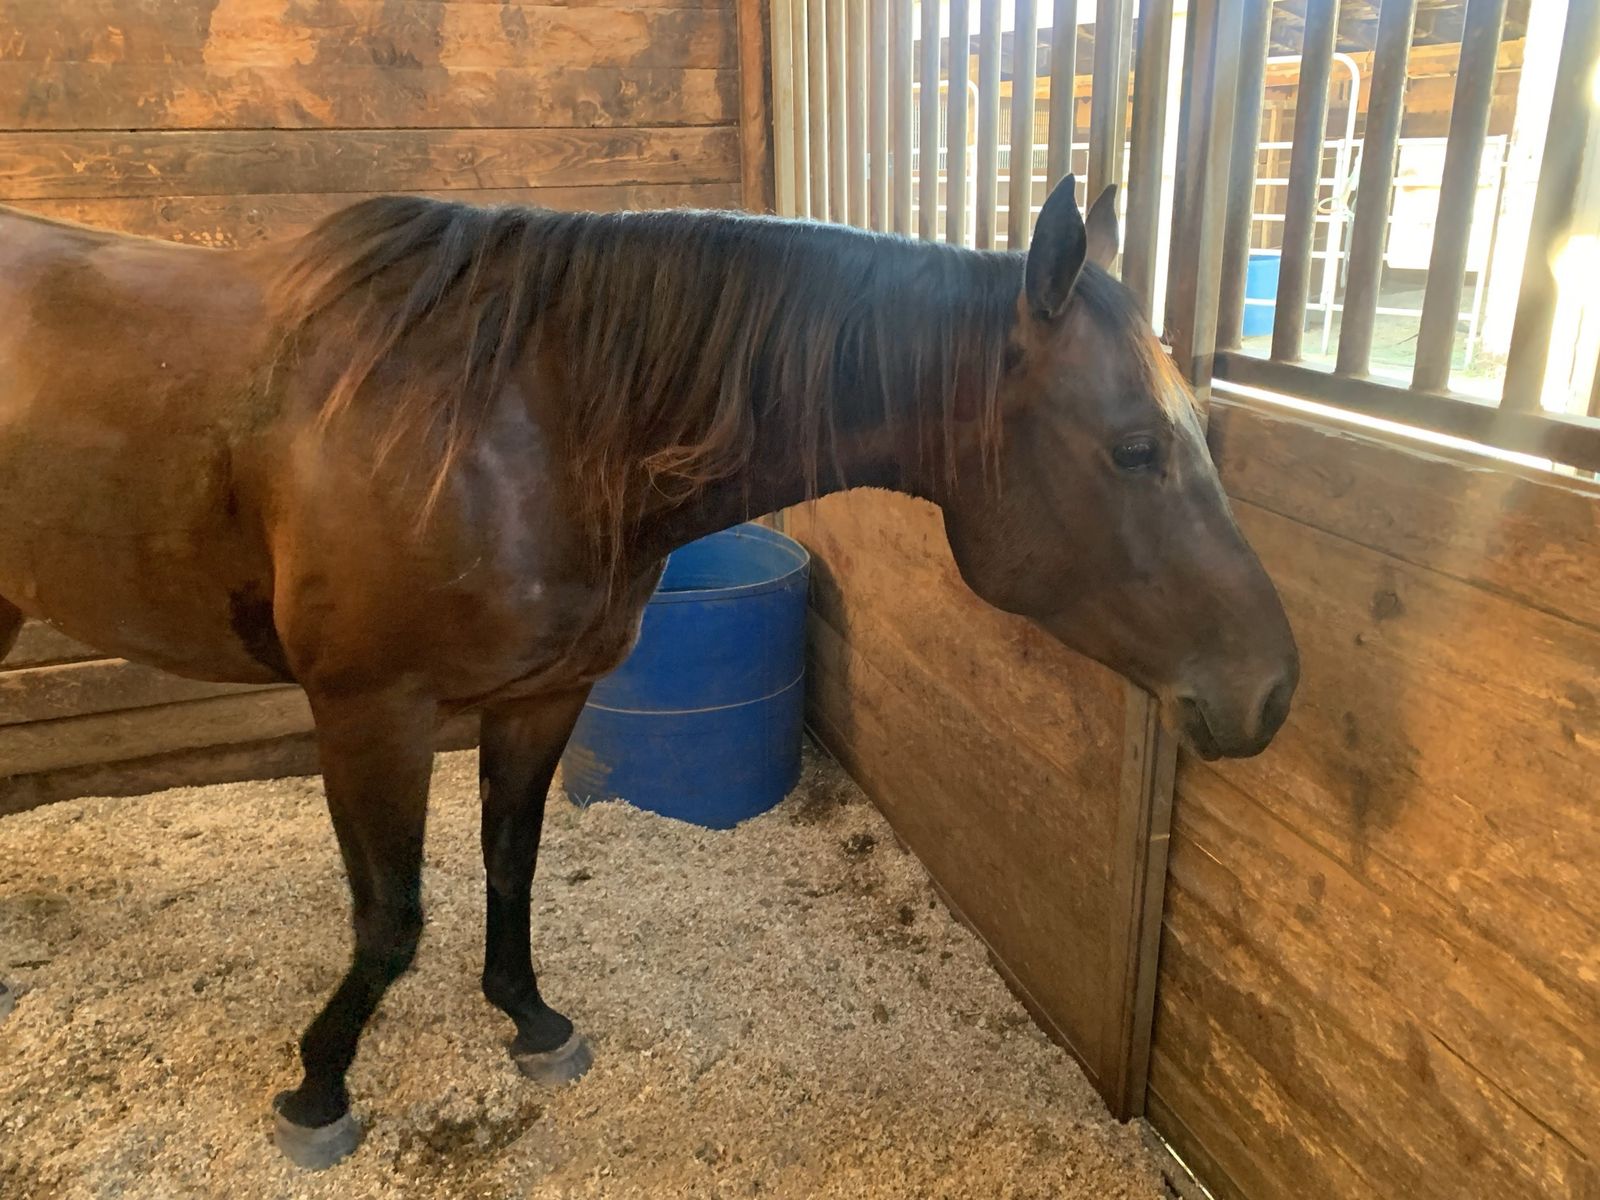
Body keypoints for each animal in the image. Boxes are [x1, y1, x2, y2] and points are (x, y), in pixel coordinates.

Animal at [0, 175, 1298, 1169]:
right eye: (1134, 447)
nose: (1271, 689)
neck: (525, 420)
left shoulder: (543, 697)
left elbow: (511, 866)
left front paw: (530, 1021)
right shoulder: (370, 713)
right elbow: (391, 920)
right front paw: (319, 1087)